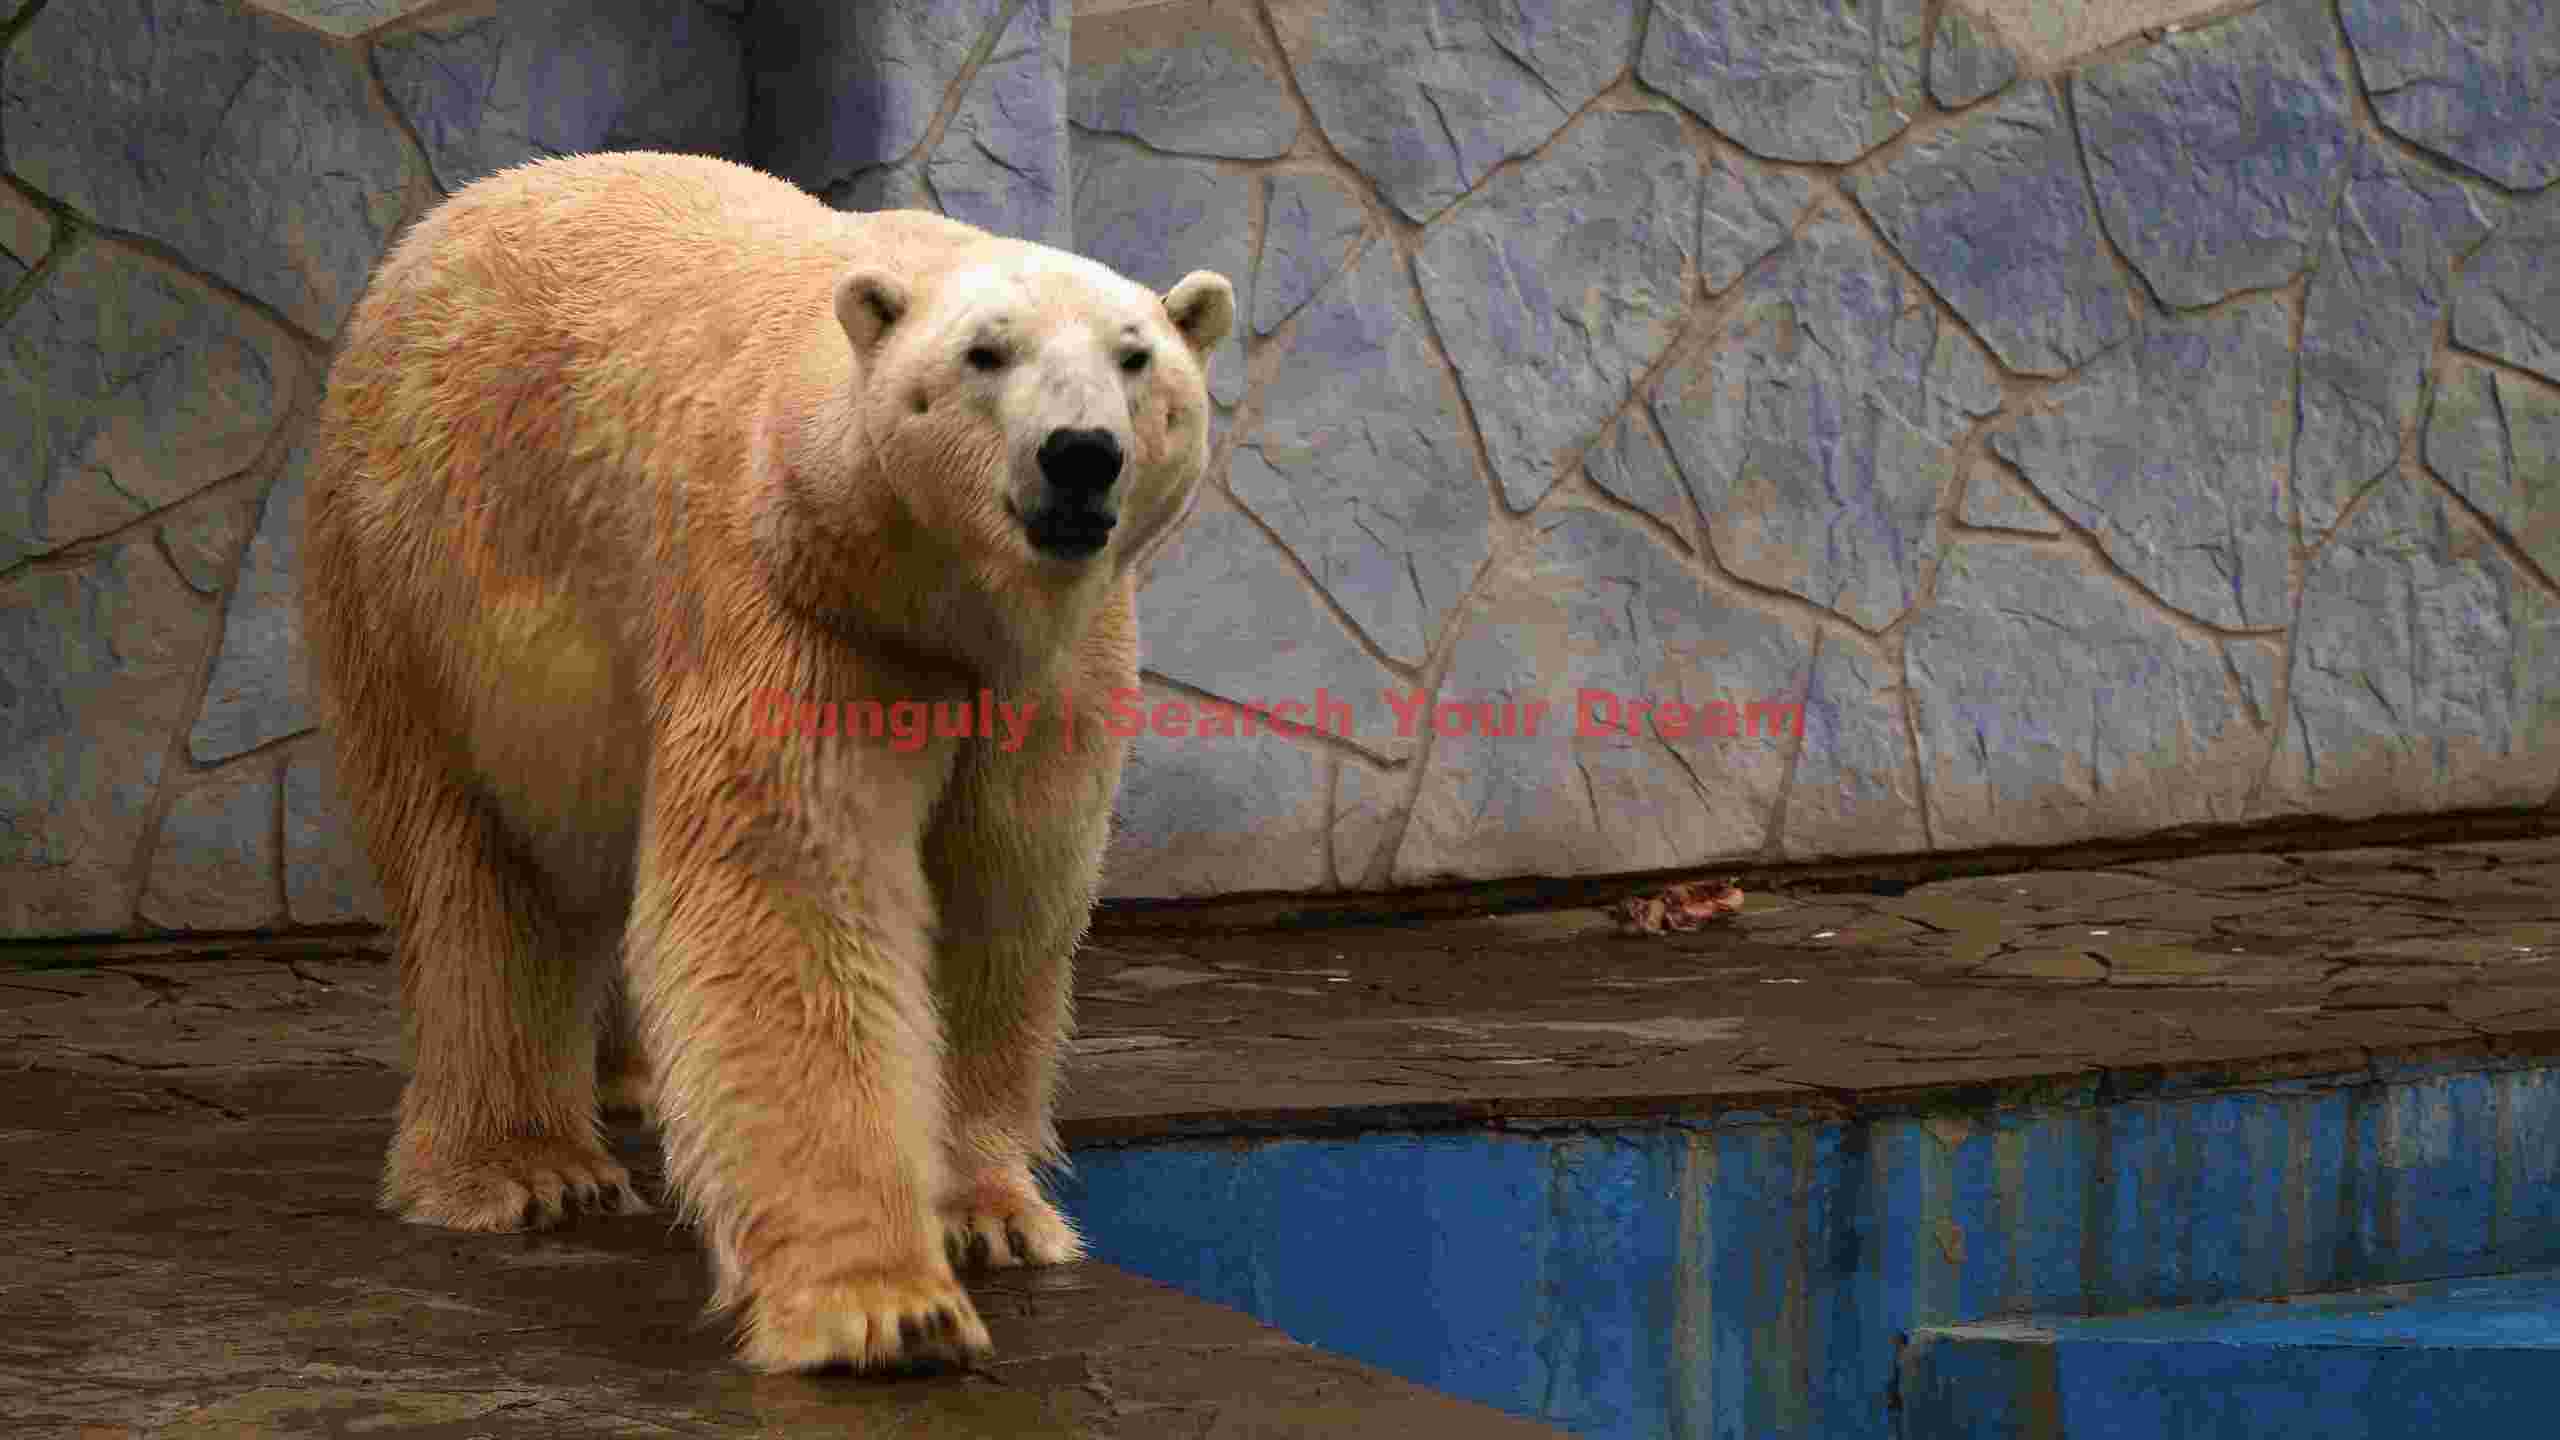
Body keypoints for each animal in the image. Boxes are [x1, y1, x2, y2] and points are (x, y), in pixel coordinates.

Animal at [299, 149, 1233, 1374]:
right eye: (984, 354)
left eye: (1136, 356)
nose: (1080, 456)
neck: (933, 593)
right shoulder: (797, 606)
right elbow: (791, 901)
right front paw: (884, 1308)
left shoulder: (1054, 669)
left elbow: (1001, 892)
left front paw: (990, 1214)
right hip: (421, 578)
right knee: (474, 871)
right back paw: (524, 1171)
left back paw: (629, 1083)